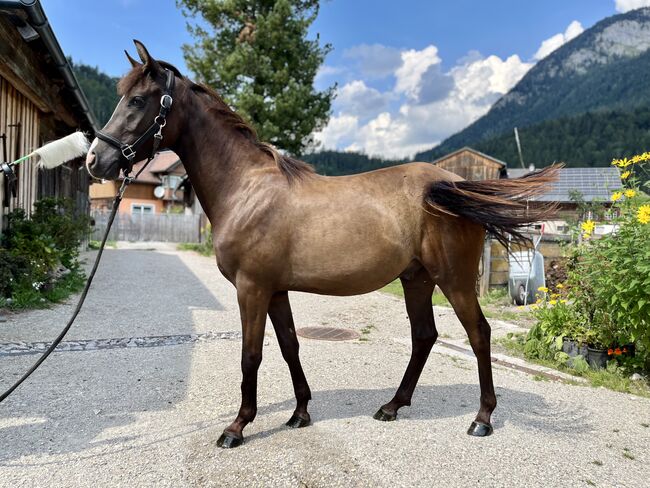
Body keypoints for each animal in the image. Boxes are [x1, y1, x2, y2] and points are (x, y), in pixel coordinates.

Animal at [83, 43, 556, 450]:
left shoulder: (252, 288)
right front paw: (299, 414)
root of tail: (451, 184)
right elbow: (289, 345)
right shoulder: (275, 290)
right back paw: (392, 406)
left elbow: (251, 355)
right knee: (424, 336)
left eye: (138, 100)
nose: (94, 161)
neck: (246, 188)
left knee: (478, 334)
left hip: (453, 280)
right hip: (416, 279)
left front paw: (237, 427)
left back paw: (482, 419)